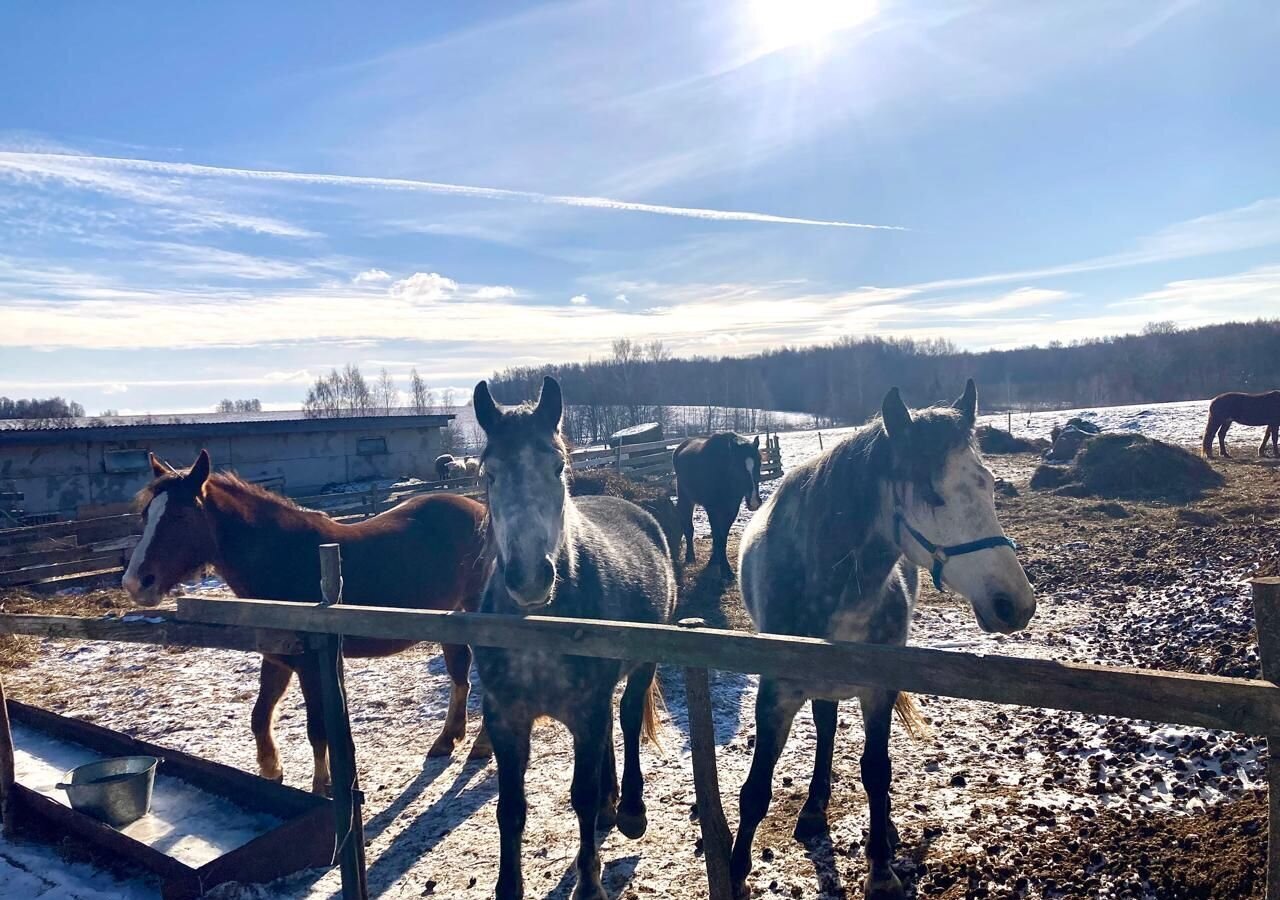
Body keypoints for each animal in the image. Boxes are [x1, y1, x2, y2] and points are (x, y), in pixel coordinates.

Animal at [124, 450, 491, 793]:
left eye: (180, 515)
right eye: (145, 515)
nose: (136, 583)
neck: (288, 557)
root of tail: (481, 512)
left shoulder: (313, 664)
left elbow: (317, 730)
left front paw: (322, 788)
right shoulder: (278, 659)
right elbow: (260, 716)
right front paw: (271, 770)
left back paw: (481, 745)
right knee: (460, 674)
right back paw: (446, 739)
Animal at [468, 373, 670, 900]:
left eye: (557, 466)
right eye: (489, 474)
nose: (529, 579)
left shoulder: (586, 707)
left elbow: (579, 793)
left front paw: (590, 881)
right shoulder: (505, 717)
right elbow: (510, 809)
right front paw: (508, 887)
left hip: (641, 668)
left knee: (626, 719)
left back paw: (629, 810)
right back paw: (608, 806)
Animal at [670, 430, 757, 573]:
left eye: (759, 465)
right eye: (738, 468)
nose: (754, 502)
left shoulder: (732, 509)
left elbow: (723, 537)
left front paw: (716, 561)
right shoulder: (712, 509)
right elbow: (718, 536)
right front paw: (725, 569)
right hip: (686, 499)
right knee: (688, 527)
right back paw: (690, 557)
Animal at [727, 378, 1034, 900]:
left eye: (989, 484)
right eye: (931, 494)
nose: (1016, 603)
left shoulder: (879, 690)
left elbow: (876, 772)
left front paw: (880, 869)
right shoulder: (775, 694)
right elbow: (755, 791)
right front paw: (734, 871)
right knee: (826, 726)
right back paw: (814, 809)